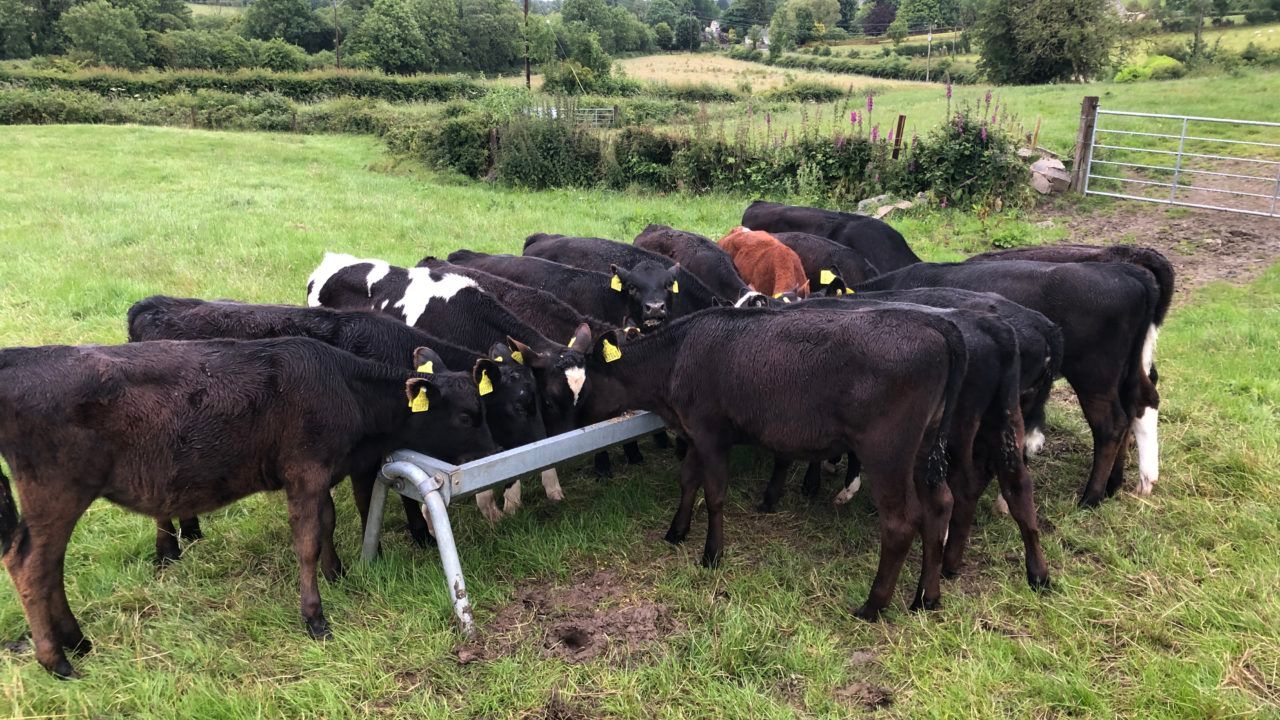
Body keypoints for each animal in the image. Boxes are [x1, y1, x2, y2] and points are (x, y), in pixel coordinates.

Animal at [0, 337, 498, 678]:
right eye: (466, 416)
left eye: (482, 408)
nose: (494, 452)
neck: (345, 387)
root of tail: (19, 358)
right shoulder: (306, 471)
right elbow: (307, 540)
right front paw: (315, 617)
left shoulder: (318, 476)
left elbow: (328, 523)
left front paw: (338, 574)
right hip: (56, 489)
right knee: (30, 564)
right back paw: (57, 660)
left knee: (49, 565)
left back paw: (77, 641)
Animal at [126, 296, 549, 553]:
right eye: (521, 404)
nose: (538, 452)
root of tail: (153, 305)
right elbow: (380, 497)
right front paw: (405, 540)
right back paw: (172, 549)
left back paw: (193, 533)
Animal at [575, 305, 971, 619]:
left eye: (585, 380)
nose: (574, 415)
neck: (677, 355)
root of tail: (934, 324)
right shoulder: (694, 434)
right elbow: (687, 479)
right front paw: (677, 530)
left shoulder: (710, 432)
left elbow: (714, 494)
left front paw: (712, 554)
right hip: (924, 446)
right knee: (940, 505)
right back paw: (926, 597)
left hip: (886, 450)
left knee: (900, 522)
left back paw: (873, 606)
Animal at [856, 260, 1162, 506]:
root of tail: (1129, 274)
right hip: (1127, 368)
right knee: (1138, 404)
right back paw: (1121, 483)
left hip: (1094, 374)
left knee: (1111, 424)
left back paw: (1091, 497)